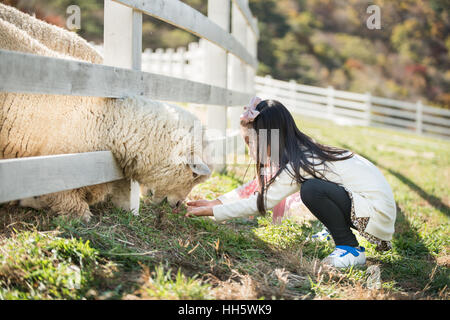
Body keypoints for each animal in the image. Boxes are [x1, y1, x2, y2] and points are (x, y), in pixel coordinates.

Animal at [0, 5, 213, 221]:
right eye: (194, 175)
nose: (177, 205)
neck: (108, 119)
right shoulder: (60, 164)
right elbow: (67, 196)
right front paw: (79, 215)